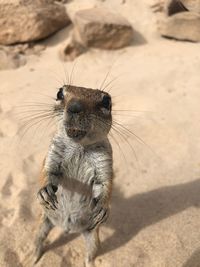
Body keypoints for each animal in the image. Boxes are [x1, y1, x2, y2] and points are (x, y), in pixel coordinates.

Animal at [33, 85, 113, 266]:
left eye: (106, 101)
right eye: (59, 93)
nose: (74, 107)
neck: (79, 146)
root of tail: (67, 228)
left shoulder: (104, 162)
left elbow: (106, 184)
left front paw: (103, 208)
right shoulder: (52, 153)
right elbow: (47, 172)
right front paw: (44, 191)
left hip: (93, 238)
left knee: (90, 255)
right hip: (42, 224)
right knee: (38, 241)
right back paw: (32, 258)